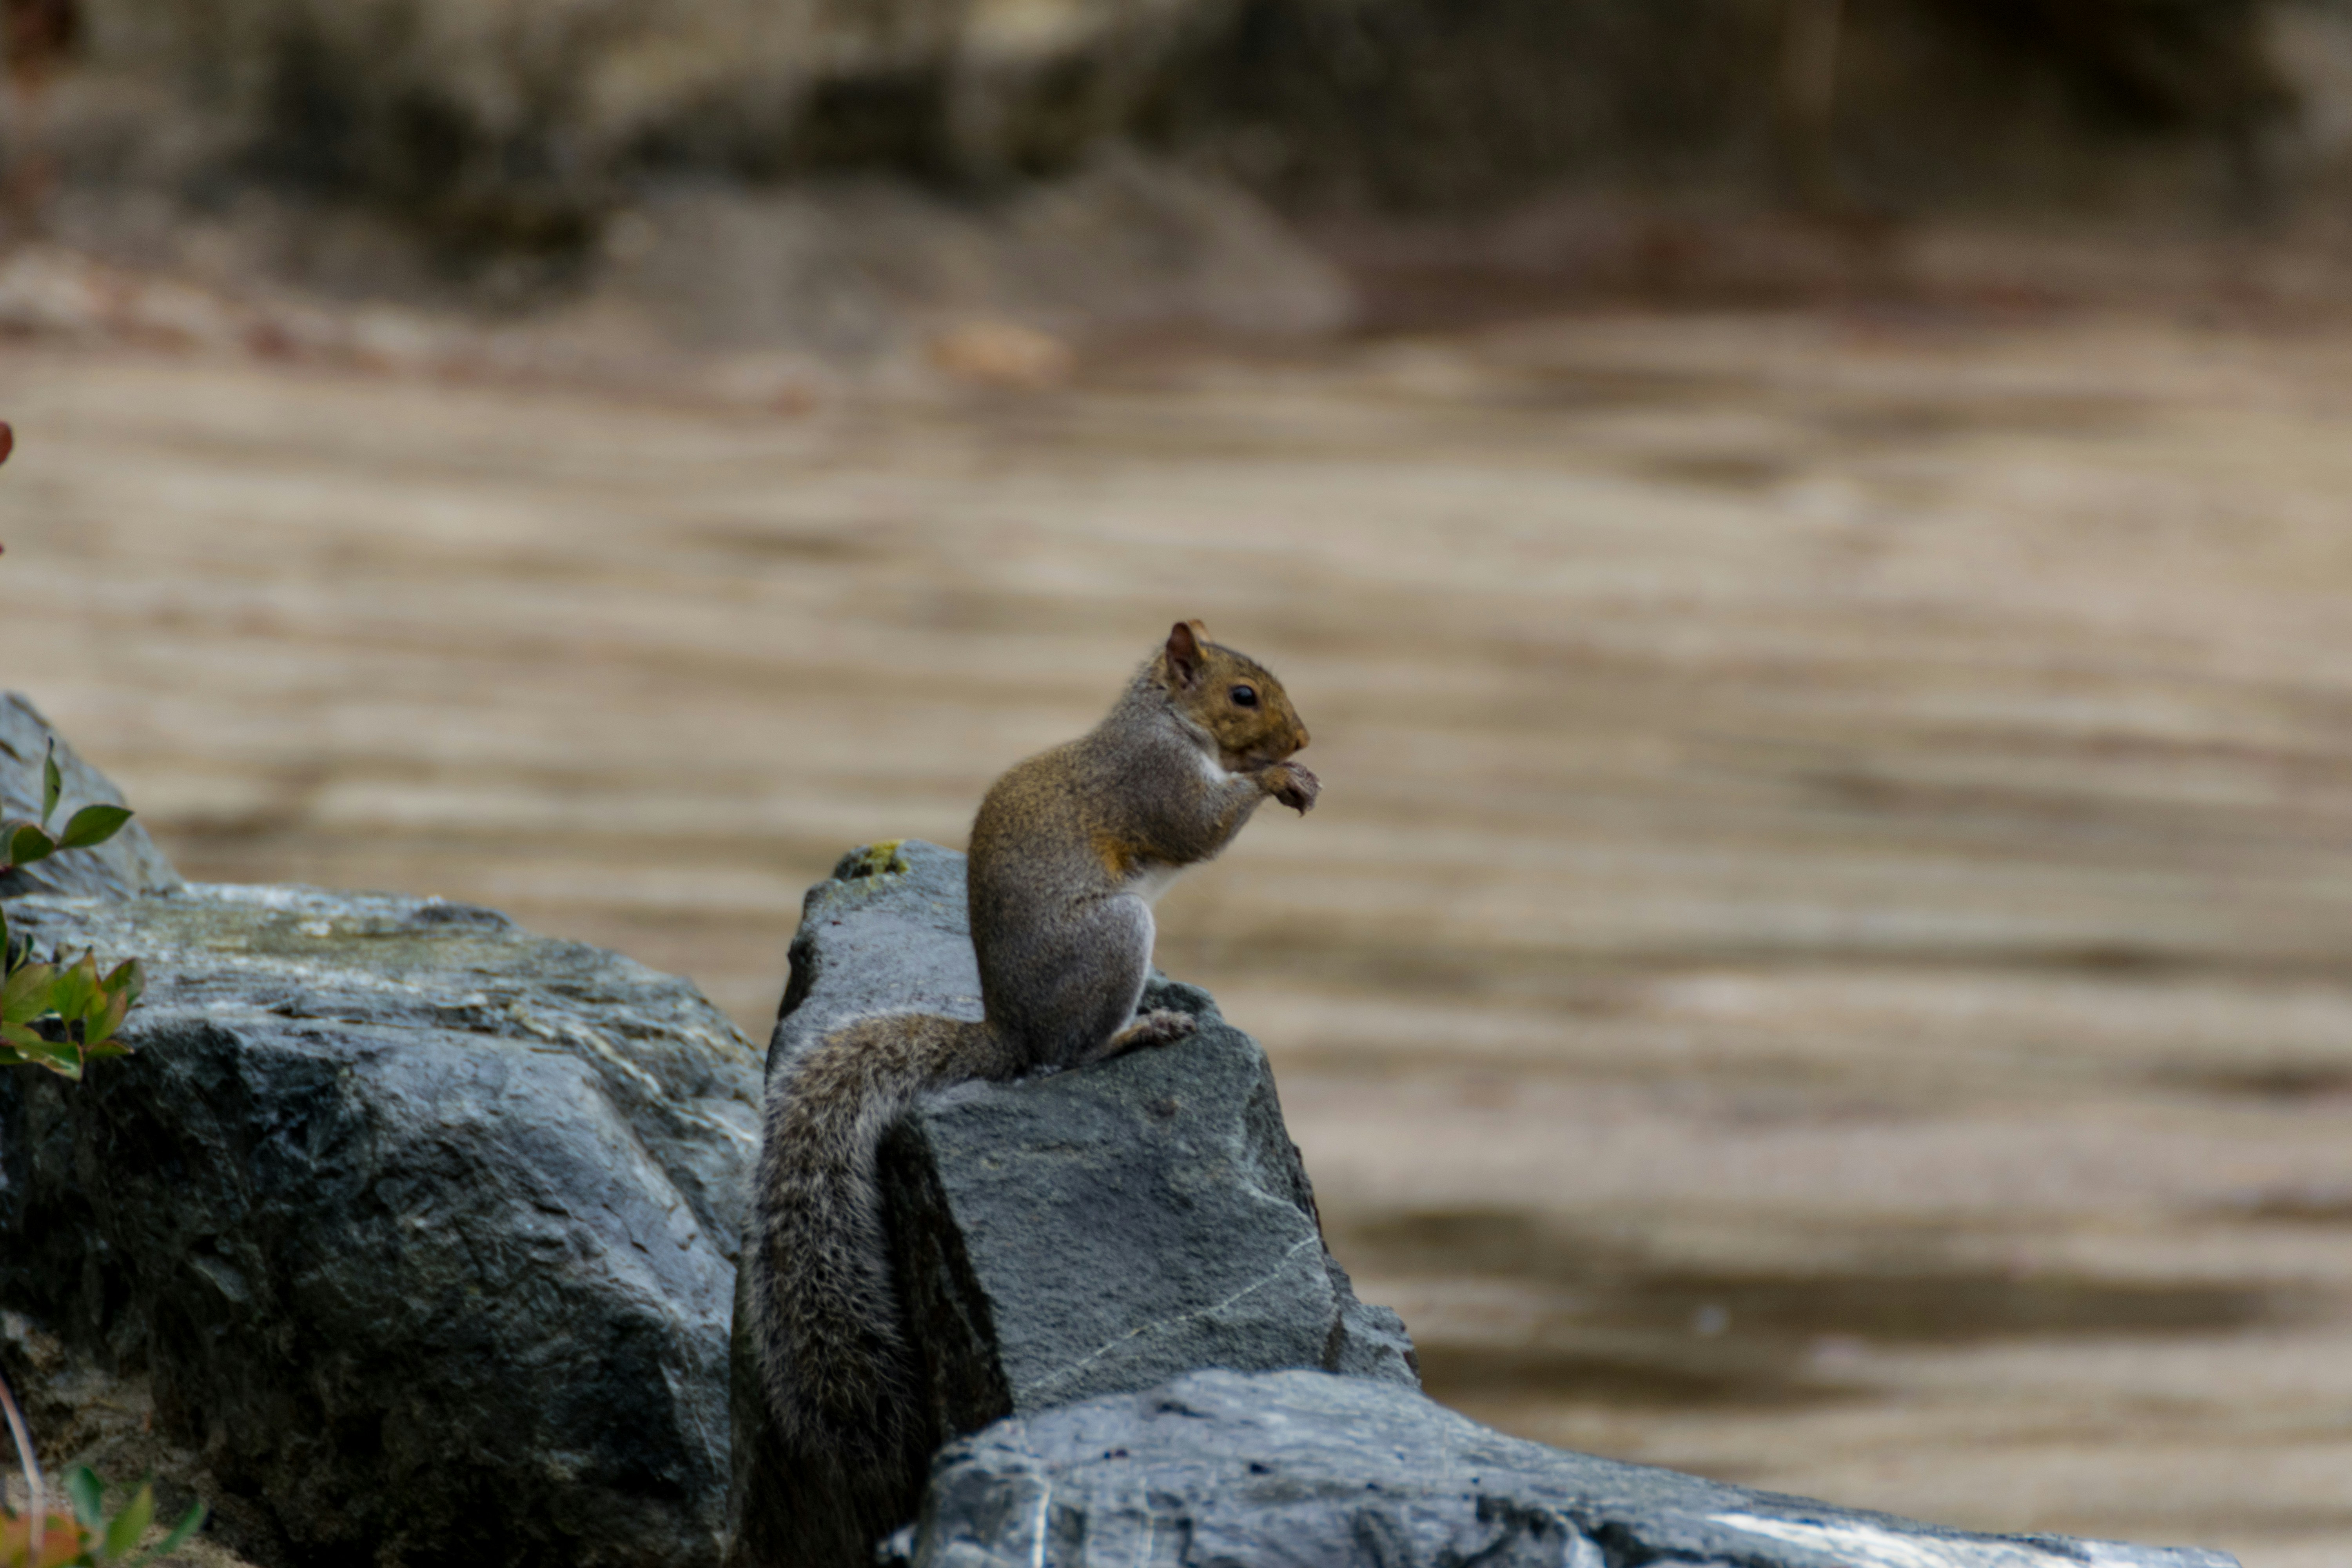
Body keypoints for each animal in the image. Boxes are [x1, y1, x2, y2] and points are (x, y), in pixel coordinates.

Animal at [744, 620, 1317, 1491]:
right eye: (1244, 694)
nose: (1305, 737)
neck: (1167, 721)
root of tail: (1011, 1031)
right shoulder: (1152, 781)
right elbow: (1200, 825)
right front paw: (1278, 776)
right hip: (1114, 940)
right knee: (1070, 1057)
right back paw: (1139, 1029)